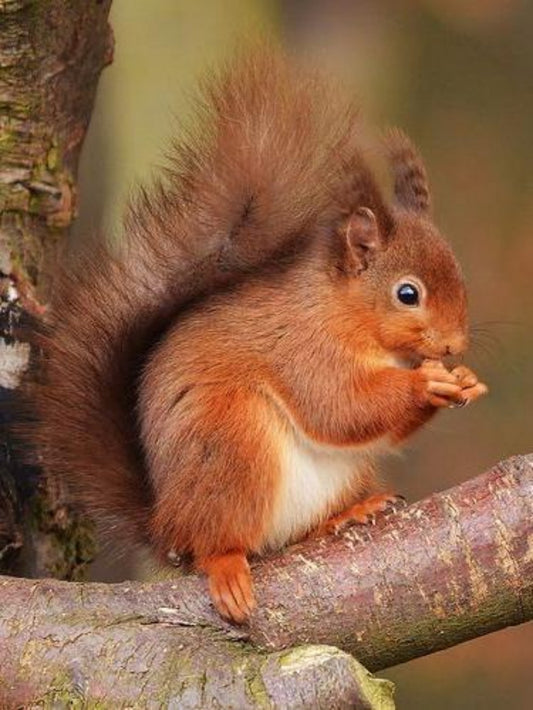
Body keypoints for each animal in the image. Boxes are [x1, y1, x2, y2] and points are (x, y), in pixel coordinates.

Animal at [26, 48, 487, 623]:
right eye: (408, 293)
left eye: (460, 273)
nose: (453, 347)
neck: (345, 314)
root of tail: (165, 524)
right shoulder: (304, 349)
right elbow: (339, 407)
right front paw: (428, 383)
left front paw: (464, 380)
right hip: (233, 448)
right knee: (215, 544)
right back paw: (226, 566)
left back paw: (349, 512)